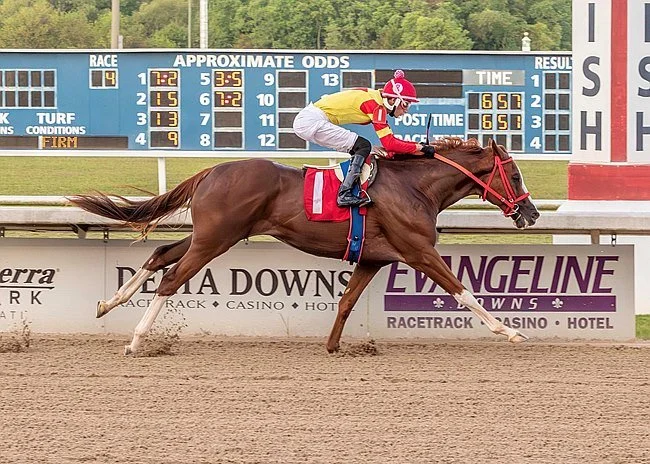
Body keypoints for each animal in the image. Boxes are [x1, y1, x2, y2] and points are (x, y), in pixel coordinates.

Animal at [69, 138, 540, 355]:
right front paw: (511, 331)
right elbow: (464, 291)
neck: (414, 187)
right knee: (170, 278)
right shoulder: (419, 251)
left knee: (160, 255)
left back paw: (107, 303)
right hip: (215, 239)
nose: (531, 213)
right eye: (515, 176)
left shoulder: (372, 258)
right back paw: (135, 341)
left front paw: (333, 346)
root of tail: (210, 171)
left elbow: (347, 301)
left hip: (210, 234)